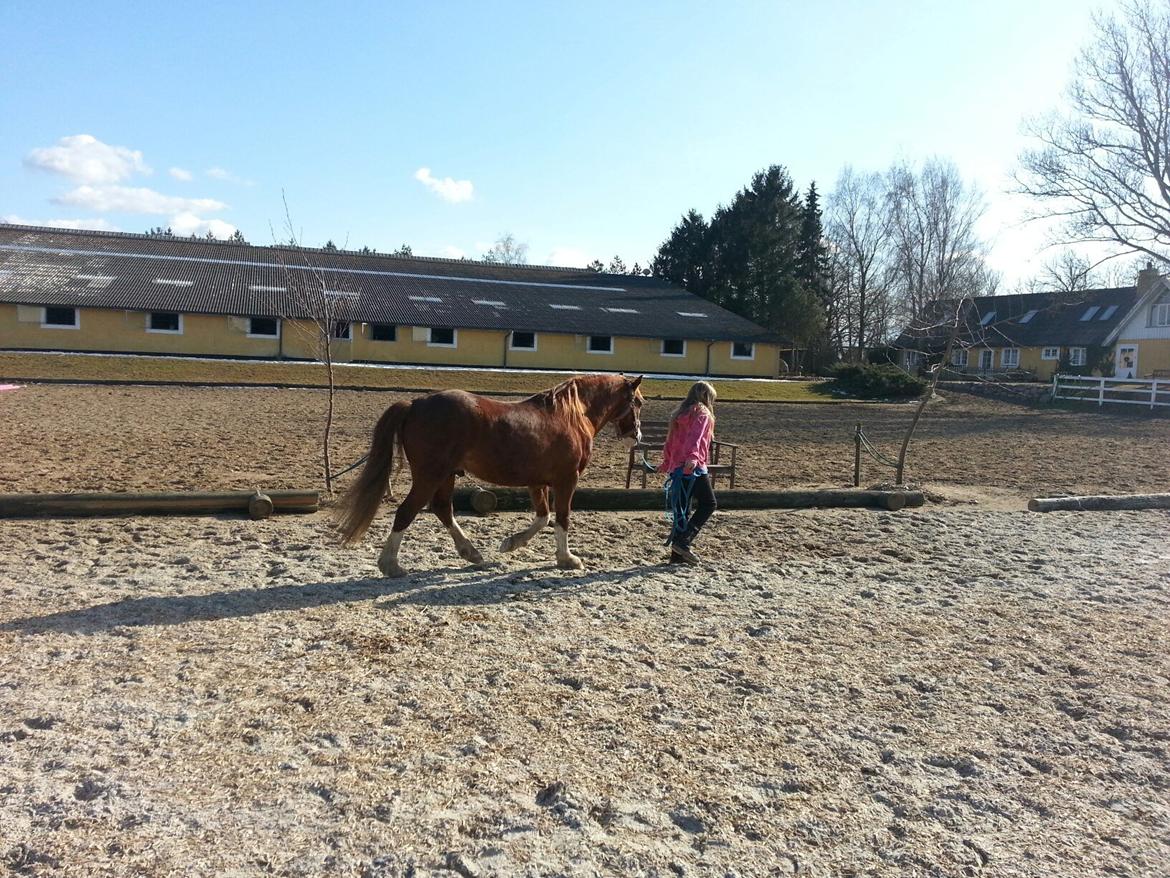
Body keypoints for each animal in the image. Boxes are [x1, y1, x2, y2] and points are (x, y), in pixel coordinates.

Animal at [336, 374, 645, 577]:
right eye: (639, 402)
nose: (637, 436)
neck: (571, 415)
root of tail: (416, 404)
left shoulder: (537, 482)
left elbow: (542, 517)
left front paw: (511, 543)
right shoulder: (566, 480)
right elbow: (561, 518)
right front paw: (567, 559)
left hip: (446, 475)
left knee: (442, 509)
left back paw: (471, 553)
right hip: (430, 475)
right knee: (406, 511)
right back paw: (391, 565)